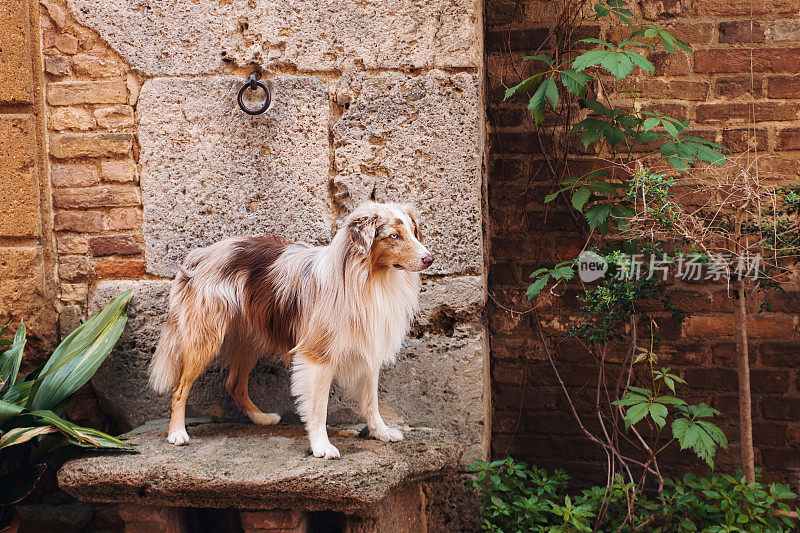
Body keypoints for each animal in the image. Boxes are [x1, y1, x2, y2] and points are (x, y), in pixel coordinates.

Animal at [147, 200, 434, 458]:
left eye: (413, 231)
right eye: (394, 236)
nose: (430, 259)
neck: (368, 279)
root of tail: (200, 254)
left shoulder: (368, 350)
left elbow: (371, 401)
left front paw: (381, 432)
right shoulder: (317, 356)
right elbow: (318, 407)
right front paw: (321, 446)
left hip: (249, 340)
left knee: (234, 384)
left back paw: (261, 418)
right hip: (204, 338)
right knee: (180, 388)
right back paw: (177, 433)